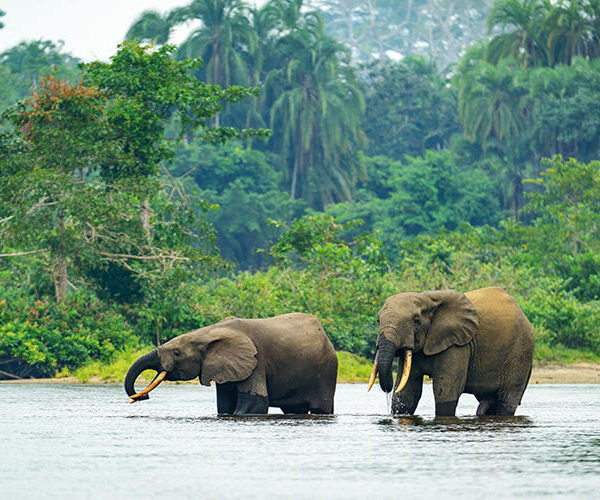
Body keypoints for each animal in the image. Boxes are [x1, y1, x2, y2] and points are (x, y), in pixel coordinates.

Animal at [123, 312, 338, 414]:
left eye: (177, 353)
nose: (144, 397)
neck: (209, 332)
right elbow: (224, 406)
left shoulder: (256, 361)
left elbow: (254, 406)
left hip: (326, 369)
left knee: (320, 408)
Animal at [368, 288, 536, 416]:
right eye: (378, 320)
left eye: (416, 320)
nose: (388, 389)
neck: (426, 297)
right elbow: (407, 393)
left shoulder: (458, 344)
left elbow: (446, 390)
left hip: (520, 353)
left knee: (506, 400)